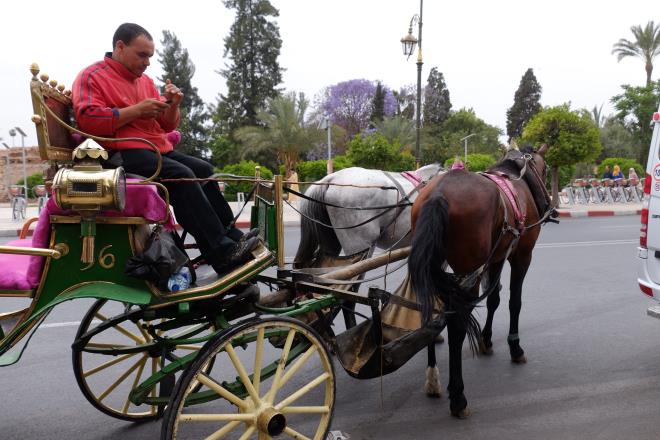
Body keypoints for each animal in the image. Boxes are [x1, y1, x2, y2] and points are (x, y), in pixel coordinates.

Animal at [410, 146, 556, 418]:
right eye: (545, 169)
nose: (549, 205)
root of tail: (438, 193)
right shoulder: (522, 256)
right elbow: (514, 302)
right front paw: (515, 347)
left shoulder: (498, 256)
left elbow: (494, 299)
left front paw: (486, 340)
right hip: (469, 270)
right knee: (457, 325)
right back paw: (458, 397)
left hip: (434, 265)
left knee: (429, 312)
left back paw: (433, 378)